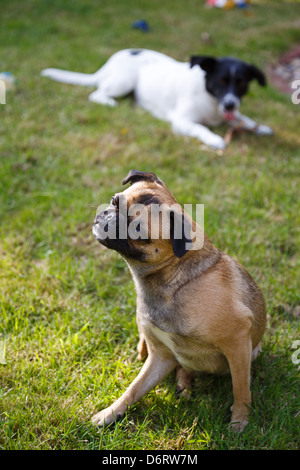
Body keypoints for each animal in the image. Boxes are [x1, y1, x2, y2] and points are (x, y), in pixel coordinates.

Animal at [41, 48, 274, 148]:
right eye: (222, 81)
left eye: (241, 84)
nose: (230, 103)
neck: (211, 101)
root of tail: (114, 58)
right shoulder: (181, 120)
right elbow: (200, 127)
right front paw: (214, 139)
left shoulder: (231, 112)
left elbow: (246, 120)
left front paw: (261, 128)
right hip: (123, 81)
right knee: (96, 93)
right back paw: (109, 102)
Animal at [92, 171, 266, 432]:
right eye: (114, 201)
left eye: (138, 231)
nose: (110, 217)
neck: (170, 279)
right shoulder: (160, 357)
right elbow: (134, 389)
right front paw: (110, 413)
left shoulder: (237, 342)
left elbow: (241, 389)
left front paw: (240, 420)